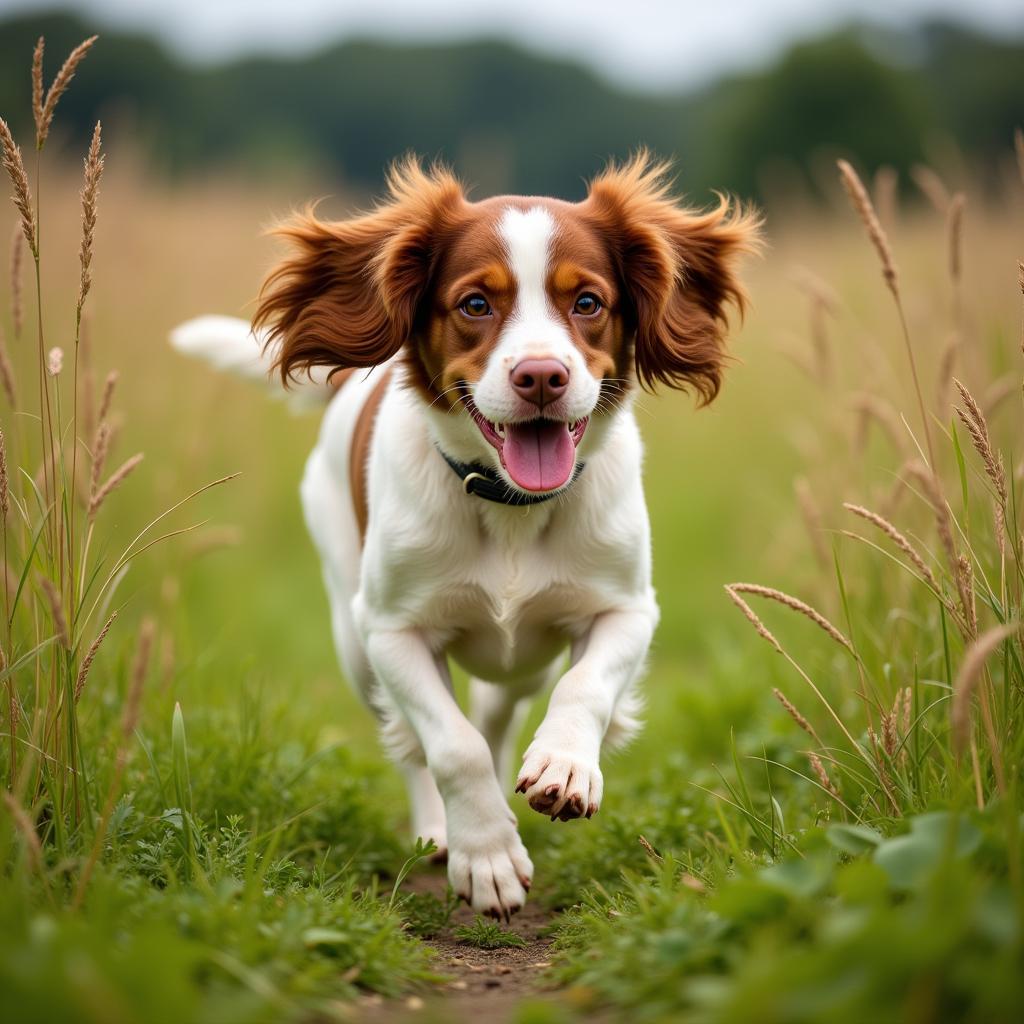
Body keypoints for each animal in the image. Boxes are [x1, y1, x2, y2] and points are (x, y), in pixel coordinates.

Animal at [172, 151, 757, 921]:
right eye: (476, 304)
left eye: (588, 303)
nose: (541, 376)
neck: (511, 506)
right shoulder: (390, 629)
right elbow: (450, 746)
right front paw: (486, 857)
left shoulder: (628, 607)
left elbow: (583, 688)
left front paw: (566, 765)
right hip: (353, 640)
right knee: (415, 742)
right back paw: (438, 831)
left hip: (522, 661)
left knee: (497, 710)